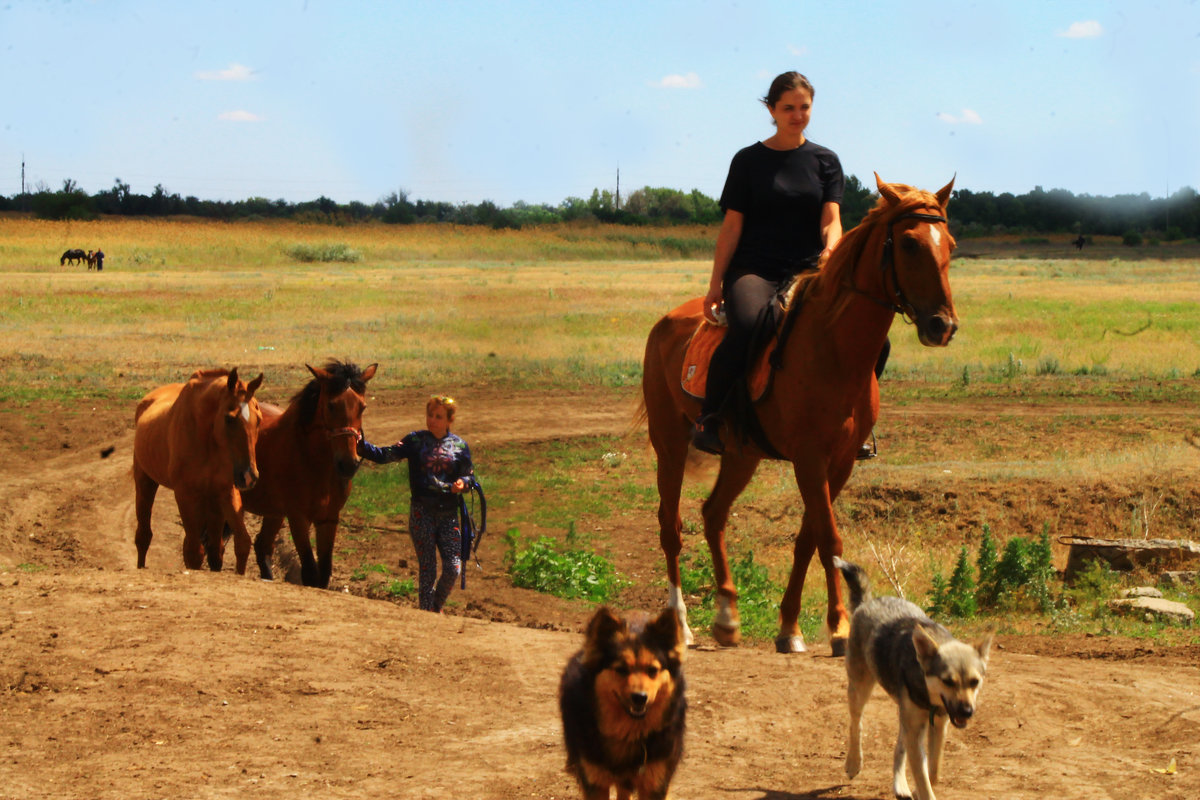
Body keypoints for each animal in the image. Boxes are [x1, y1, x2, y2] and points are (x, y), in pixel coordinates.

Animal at [136, 369, 267, 575]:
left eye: (259, 419)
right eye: (229, 418)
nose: (249, 476)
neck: (207, 438)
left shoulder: (227, 491)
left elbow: (242, 543)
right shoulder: (185, 495)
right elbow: (194, 551)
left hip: (213, 502)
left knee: (215, 547)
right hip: (144, 480)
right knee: (143, 535)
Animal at [243, 359, 374, 592]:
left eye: (362, 406)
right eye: (331, 405)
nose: (348, 464)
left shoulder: (329, 518)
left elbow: (324, 572)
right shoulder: (298, 518)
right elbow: (311, 572)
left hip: (274, 513)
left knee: (262, 546)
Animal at [559, 606, 686, 800]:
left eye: (653, 670)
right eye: (621, 669)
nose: (640, 697)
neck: (628, 732)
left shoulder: (655, 782)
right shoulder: (595, 780)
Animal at [643, 175, 960, 657]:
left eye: (951, 245)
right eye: (908, 243)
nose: (943, 325)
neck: (834, 347)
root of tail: (665, 320)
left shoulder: (841, 461)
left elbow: (809, 539)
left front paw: (790, 627)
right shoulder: (810, 459)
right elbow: (829, 539)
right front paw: (842, 627)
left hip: (742, 454)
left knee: (713, 514)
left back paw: (727, 617)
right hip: (670, 445)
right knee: (671, 527)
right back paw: (681, 626)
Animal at [835, 556, 993, 800]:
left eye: (974, 682)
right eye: (948, 681)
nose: (967, 711)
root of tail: (867, 602)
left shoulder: (937, 726)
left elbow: (933, 772)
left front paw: (917, 788)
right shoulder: (917, 727)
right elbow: (925, 780)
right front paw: (922, 790)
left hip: (906, 717)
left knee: (899, 748)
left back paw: (900, 785)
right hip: (860, 690)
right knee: (856, 725)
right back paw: (853, 763)